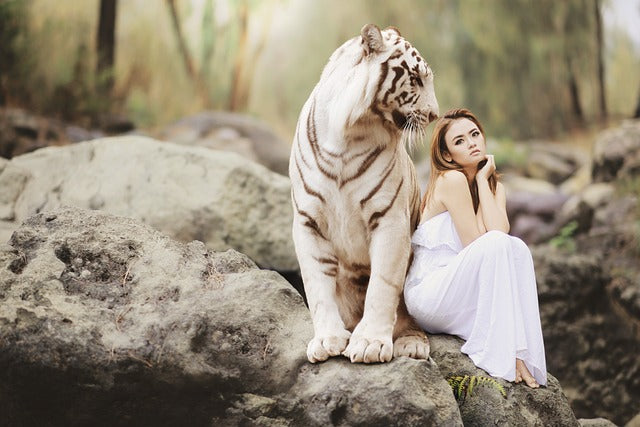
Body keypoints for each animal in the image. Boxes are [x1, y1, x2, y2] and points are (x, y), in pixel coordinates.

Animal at [292, 24, 438, 364]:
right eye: (417, 78)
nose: (435, 115)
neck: (348, 133)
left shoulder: (390, 219)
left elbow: (382, 285)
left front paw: (370, 343)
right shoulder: (307, 221)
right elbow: (317, 286)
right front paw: (327, 340)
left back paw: (411, 344)